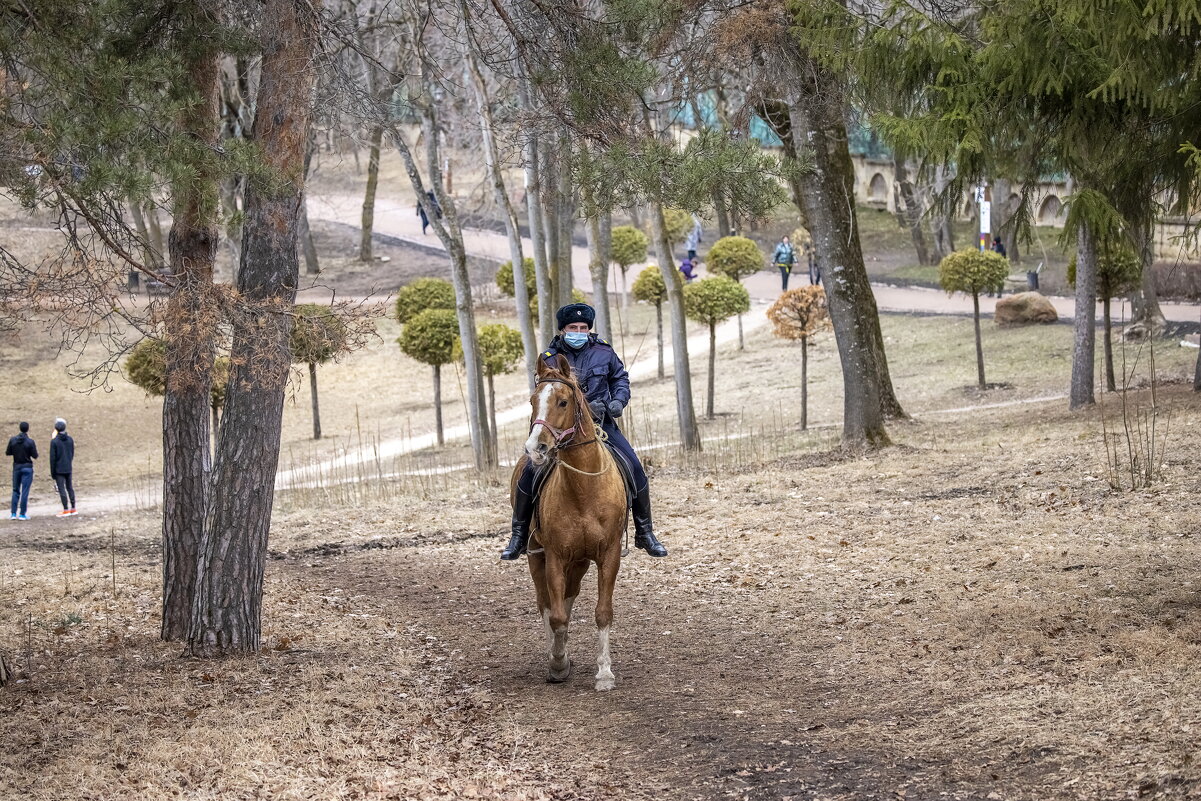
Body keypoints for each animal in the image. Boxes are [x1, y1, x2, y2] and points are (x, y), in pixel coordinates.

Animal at [511, 355, 629, 691]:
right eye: (532, 401)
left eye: (563, 402)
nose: (535, 448)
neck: (583, 490)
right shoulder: (554, 557)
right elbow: (557, 616)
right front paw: (558, 663)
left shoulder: (608, 555)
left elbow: (602, 613)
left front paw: (604, 673)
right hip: (538, 558)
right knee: (547, 604)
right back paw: (556, 652)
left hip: (580, 562)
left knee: (568, 596)